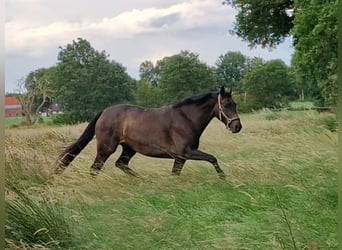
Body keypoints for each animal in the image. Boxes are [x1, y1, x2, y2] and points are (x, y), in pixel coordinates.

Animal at [56, 87, 242, 179]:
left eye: (235, 104)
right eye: (226, 105)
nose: (237, 127)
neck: (186, 118)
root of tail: (104, 112)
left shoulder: (180, 157)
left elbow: (175, 174)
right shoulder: (186, 152)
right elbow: (212, 158)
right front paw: (223, 177)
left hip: (129, 148)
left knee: (121, 164)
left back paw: (140, 180)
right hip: (106, 148)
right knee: (95, 168)